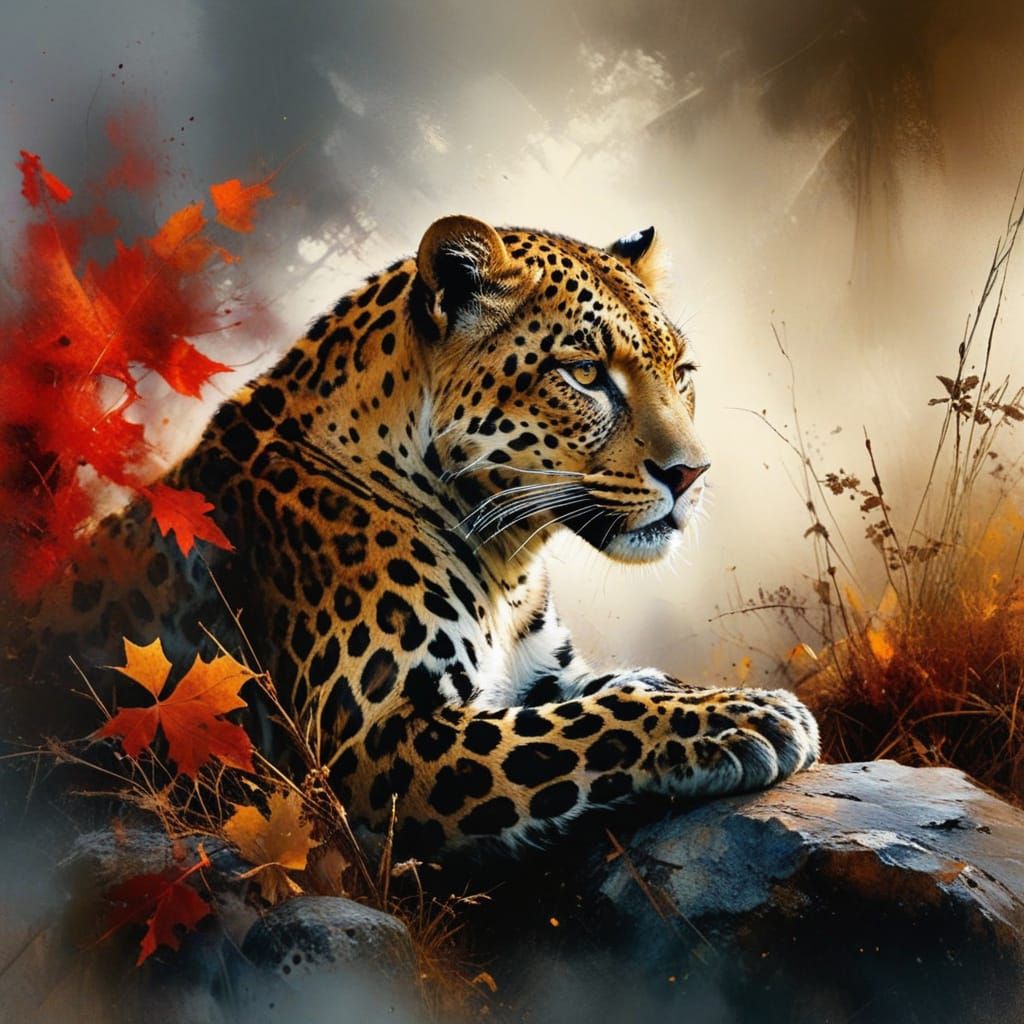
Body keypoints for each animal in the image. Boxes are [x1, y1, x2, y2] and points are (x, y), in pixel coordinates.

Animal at [9, 215, 819, 860]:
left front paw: (711, 692)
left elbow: (611, 689)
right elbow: (588, 727)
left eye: (682, 372)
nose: (692, 473)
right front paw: (749, 717)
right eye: (586, 373)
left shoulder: (538, 676)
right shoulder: (371, 740)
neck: (508, 563)